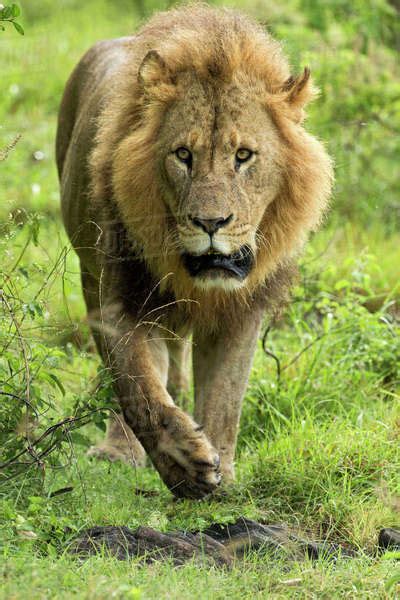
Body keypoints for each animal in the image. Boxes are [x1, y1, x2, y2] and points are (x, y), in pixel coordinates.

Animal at [55, 4, 332, 500]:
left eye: (244, 155)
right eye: (183, 154)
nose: (210, 223)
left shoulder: (241, 312)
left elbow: (225, 397)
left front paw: (223, 477)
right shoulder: (119, 299)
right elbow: (137, 387)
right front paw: (185, 465)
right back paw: (120, 450)